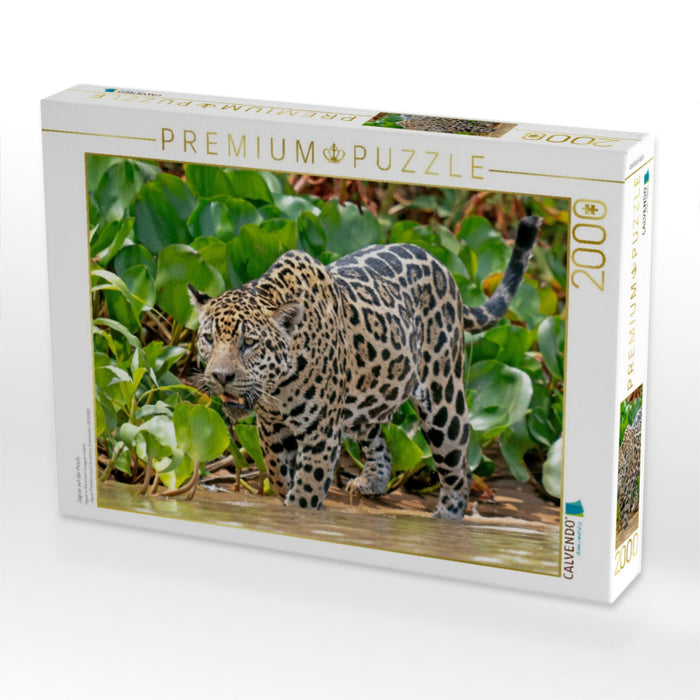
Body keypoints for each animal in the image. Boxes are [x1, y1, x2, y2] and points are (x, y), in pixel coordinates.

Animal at [188, 215, 541, 519]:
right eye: (208, 338)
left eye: (249, 343)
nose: (221, 376)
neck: (279, 385)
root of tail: (441, 264)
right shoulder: (270, 427)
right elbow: (276, 474)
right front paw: (284, 499)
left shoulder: (321, 433)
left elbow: (306, 490)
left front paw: (300, 512)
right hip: (366, 397)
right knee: (380, 441)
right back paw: (371, 481)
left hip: (444, 401)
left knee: (459, 469)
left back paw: (446, 518)